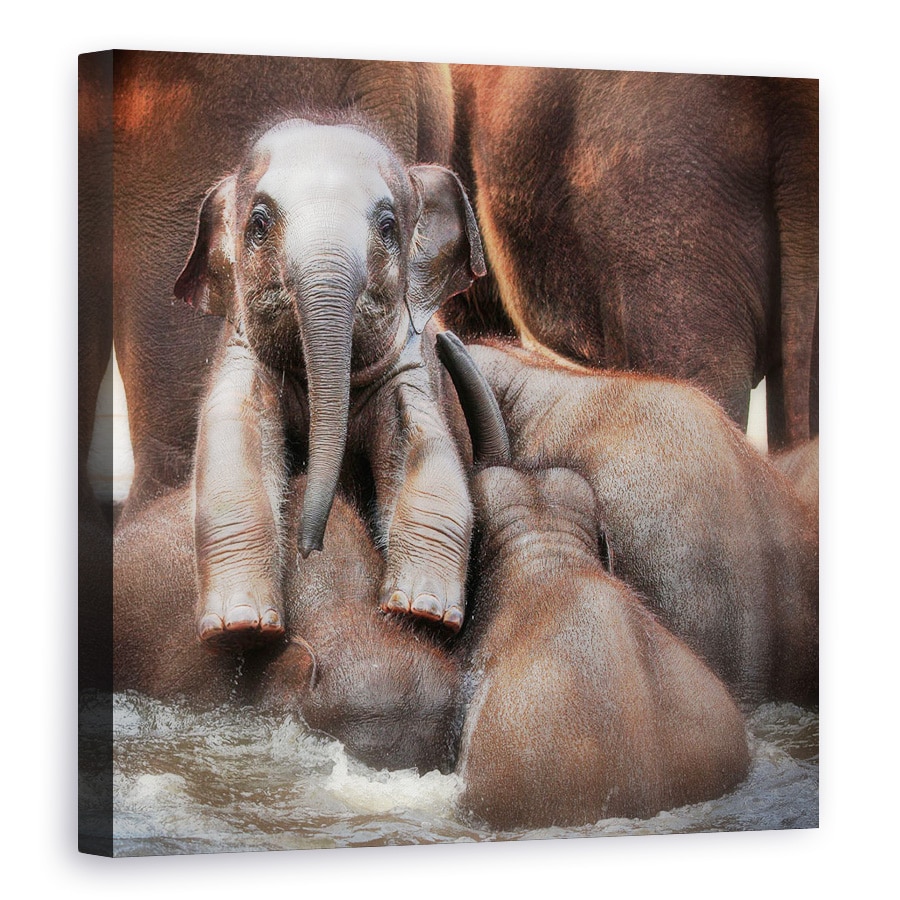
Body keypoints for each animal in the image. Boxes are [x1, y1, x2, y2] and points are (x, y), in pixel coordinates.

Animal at [173, 117, 484, 644]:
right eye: (259, 224)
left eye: (388, 227)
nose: (310, 548)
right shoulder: (239, 354)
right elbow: (233, 447)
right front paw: (242, 627)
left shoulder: (412, 366)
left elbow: (428, 453)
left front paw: (422, 613)